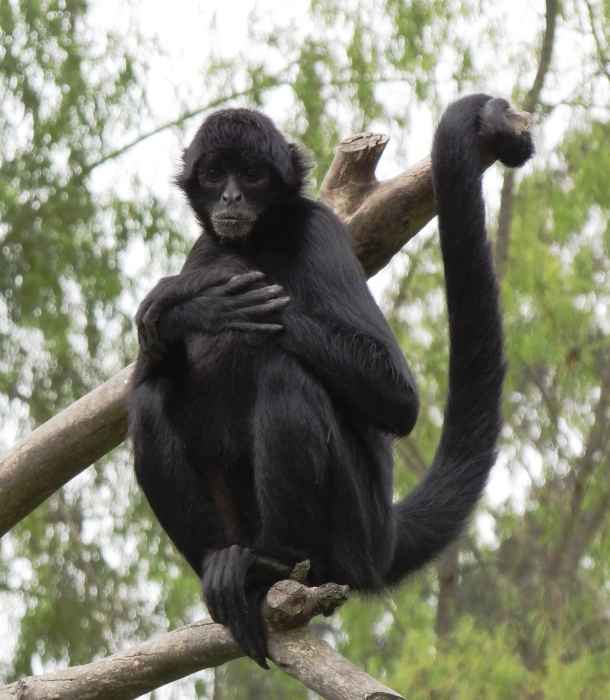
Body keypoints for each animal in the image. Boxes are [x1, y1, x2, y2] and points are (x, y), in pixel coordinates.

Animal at [129, 94, 532, 668]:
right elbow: (149, 368)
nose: (230, 195)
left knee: (285, 374)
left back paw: (271, 565)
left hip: (350, 528)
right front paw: (197, 305)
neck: (256, 245)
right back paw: (228, 569)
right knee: (150, 399)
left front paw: (196, 295)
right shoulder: (203, 246)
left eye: (251, 175)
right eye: (213, 174)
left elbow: (398, 400)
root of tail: (383, 538)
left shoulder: (320, 231)